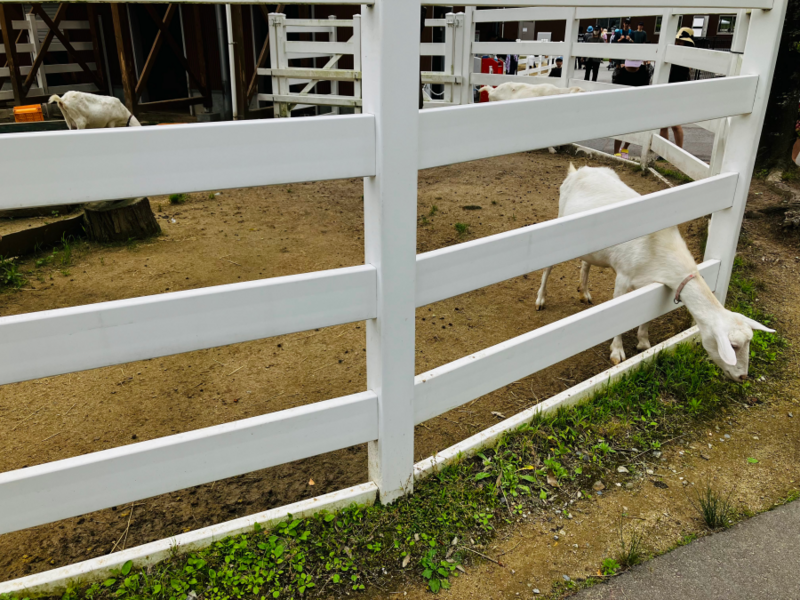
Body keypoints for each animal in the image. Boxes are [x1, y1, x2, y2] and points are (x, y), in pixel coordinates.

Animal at [536, 163, 772, 380]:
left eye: (748, 342)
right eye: (733, 346)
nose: (743, 377)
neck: (660, 248)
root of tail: (578, 170)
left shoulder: (650, 284)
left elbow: (646, 314)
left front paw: (643, 342)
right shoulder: (623, 277)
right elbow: (619, 316)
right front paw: (617, 352)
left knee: (586, 263)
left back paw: (584, 293)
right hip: (560, 223)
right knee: (548, 266)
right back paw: (540, 299)